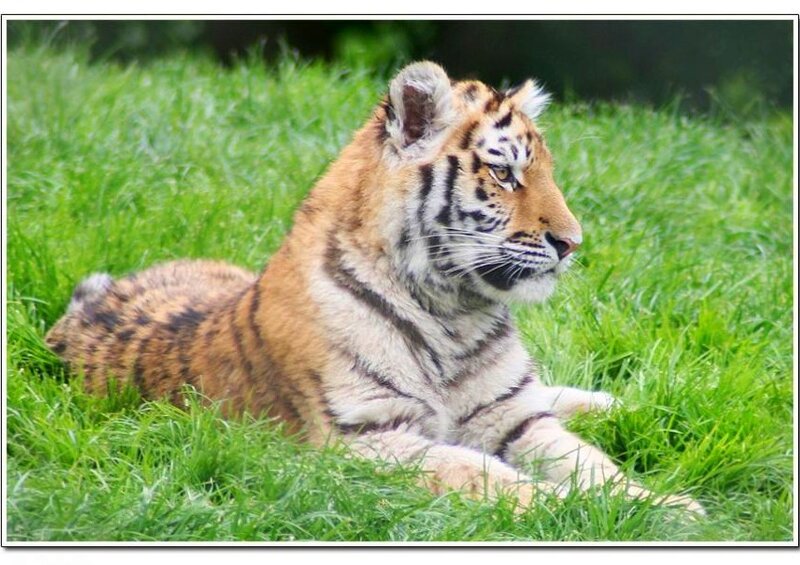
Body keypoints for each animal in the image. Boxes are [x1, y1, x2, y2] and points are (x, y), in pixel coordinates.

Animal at [45, 61, 703, 515]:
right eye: (503, 172)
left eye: (544, 172)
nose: (573, 242)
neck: (454, 309)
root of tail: (94, 293)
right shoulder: (367, 436)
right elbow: (485, 475)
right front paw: (578, 514)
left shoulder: (513, 416)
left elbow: (592, 462)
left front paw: (665, 508)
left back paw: (635, 403)